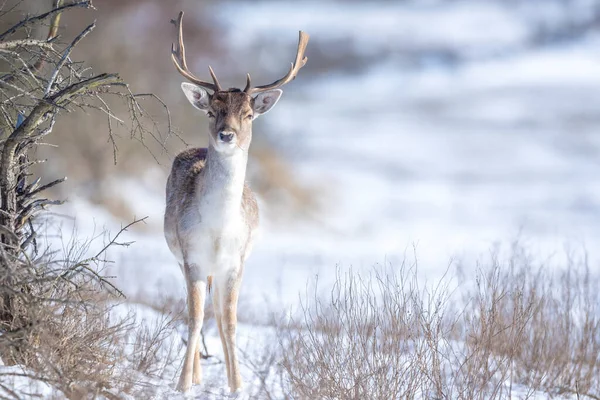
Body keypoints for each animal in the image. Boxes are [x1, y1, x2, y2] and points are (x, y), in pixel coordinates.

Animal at [162, 10, 308, 392]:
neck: (217, 230)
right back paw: (196, 375)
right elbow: (194, 318)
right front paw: (183, 385)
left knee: (217, 312)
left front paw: (238, 385)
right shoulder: (192, 256)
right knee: (197, 311)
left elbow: (229, 322)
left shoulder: (236, 261)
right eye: (211, 111)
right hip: (178, 257)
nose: (226, 134)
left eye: (249, 114)